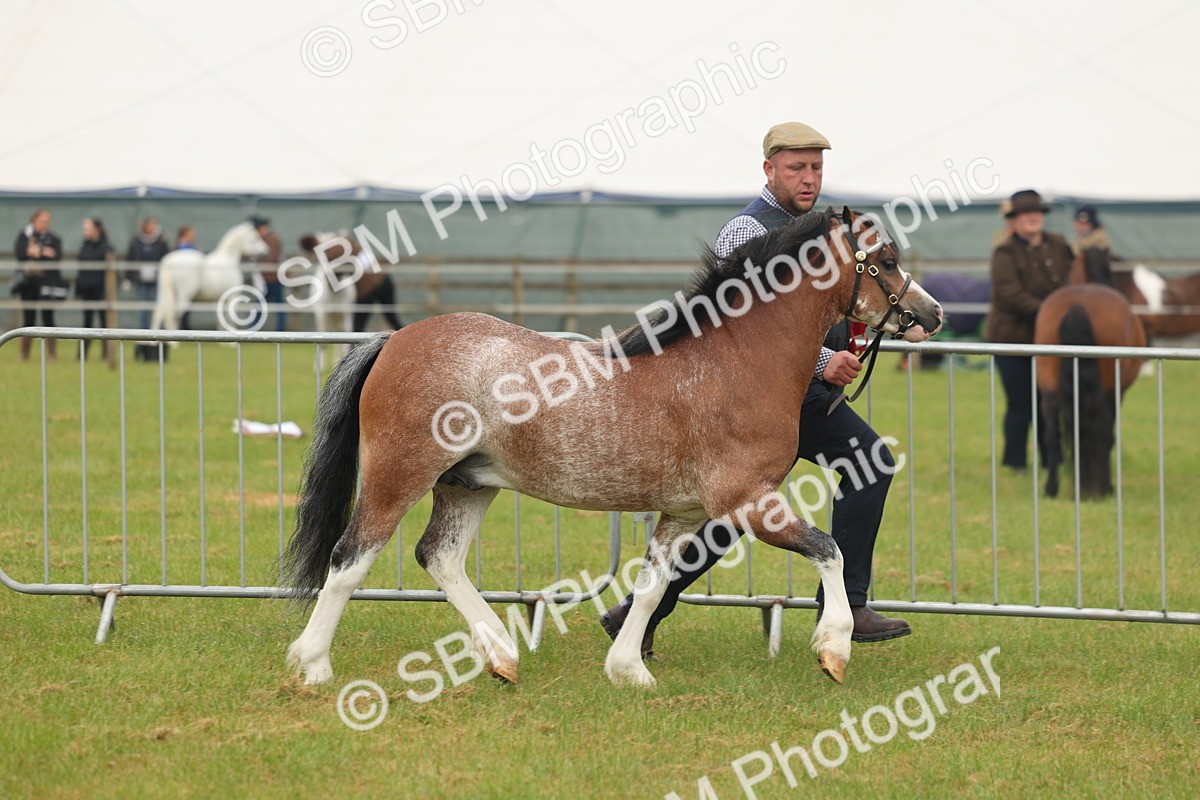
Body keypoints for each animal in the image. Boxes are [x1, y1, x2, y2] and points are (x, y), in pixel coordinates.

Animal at [280, 207, 943, 690]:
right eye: (886, 260)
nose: (932, 313)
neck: (734, 363)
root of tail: (395, 339)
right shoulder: (746, 502)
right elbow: (829, 550)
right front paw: (834, 648)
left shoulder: (685, 513)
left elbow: (651, 587)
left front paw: (629, 670)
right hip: (400, 473)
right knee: (350, 557)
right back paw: (312, 664)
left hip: (467, 485)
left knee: (439, 558)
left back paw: (500, 655)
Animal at [1034, 283, 1146, 499]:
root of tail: (1078, 305)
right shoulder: (1117, 393)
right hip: (1109, 391)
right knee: (1103, 431)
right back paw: (1102, 488)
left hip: (1048, 388)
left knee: (1052, 434)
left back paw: (1051, 488)